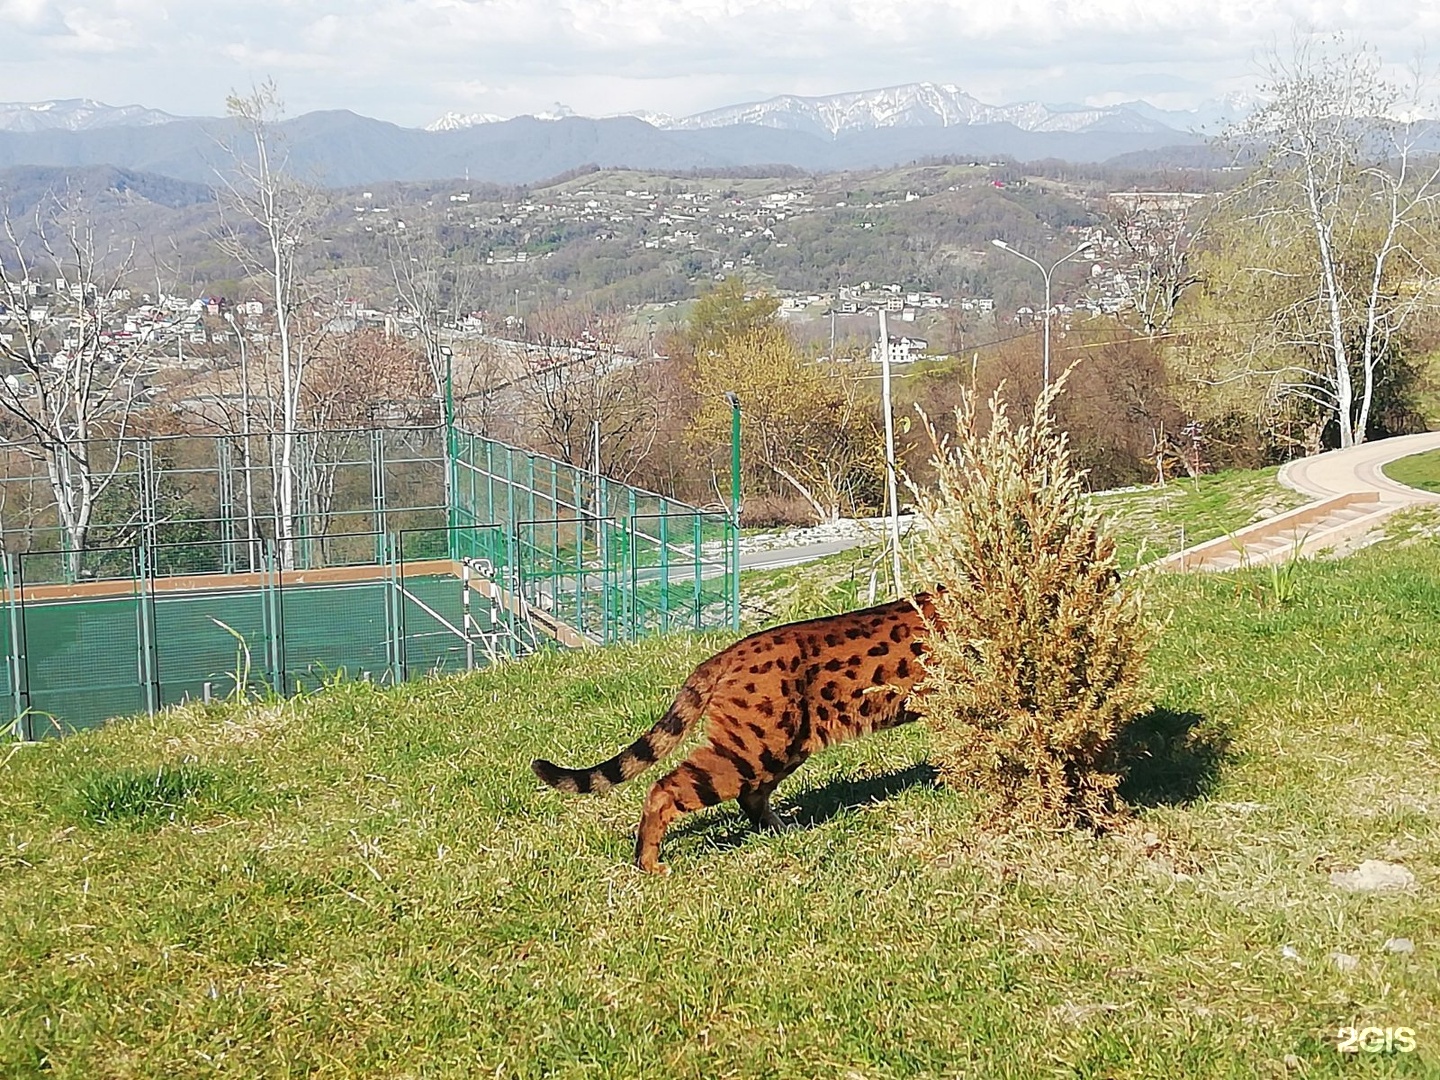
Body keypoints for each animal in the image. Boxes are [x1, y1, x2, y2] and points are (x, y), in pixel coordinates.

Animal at [535, 596, 938, 875]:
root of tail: (725, 654)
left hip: (779, 744)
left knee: (750, 796)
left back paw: (784, 830)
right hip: (754, 748)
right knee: (665, 788)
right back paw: (648, 863)